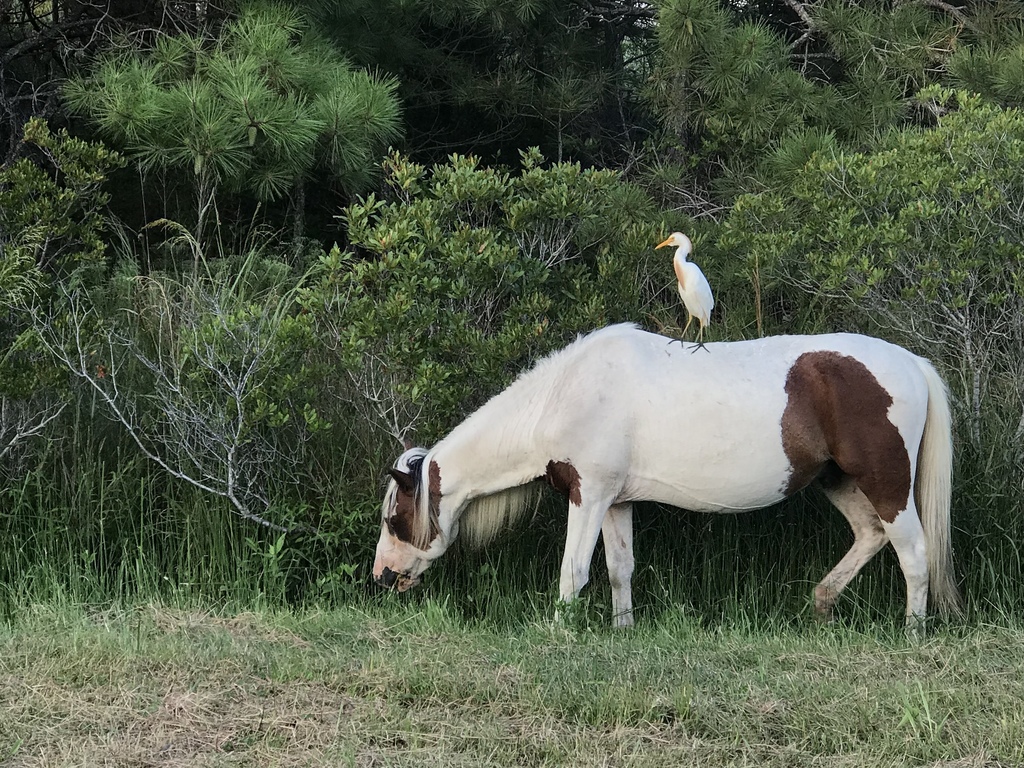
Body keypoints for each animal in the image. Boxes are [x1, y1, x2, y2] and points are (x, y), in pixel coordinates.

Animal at [372, 323, 963, 628]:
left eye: (395, 517)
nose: (381, 576)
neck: (566, 396)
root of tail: (911, 362)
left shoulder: (588, 497)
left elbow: (572, 575)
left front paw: (559, 633)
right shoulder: (615, 502)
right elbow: (619, 571)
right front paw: (622, 630)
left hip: (886, 484)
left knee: (913, 554)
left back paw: (912, 633)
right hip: (837, 481)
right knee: (870, 535)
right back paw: (821, 603)